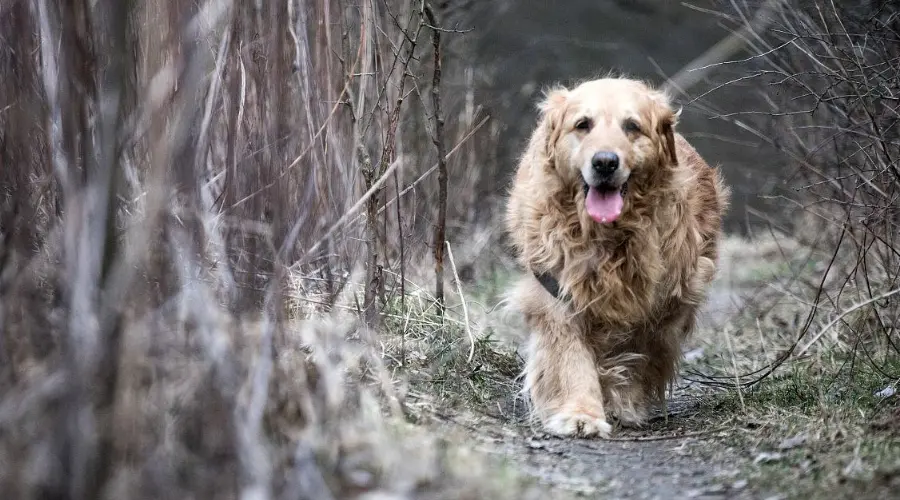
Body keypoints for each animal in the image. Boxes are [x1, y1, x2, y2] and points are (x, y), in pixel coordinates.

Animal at [506, 75, 732, 438]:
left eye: (632, 127)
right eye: (582, 124)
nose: (604, 162)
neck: (608, 237)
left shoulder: (662, 301)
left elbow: (639, 351)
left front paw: (625, 400)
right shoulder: (558, 292)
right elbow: (571, 358)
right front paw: (580, 414)